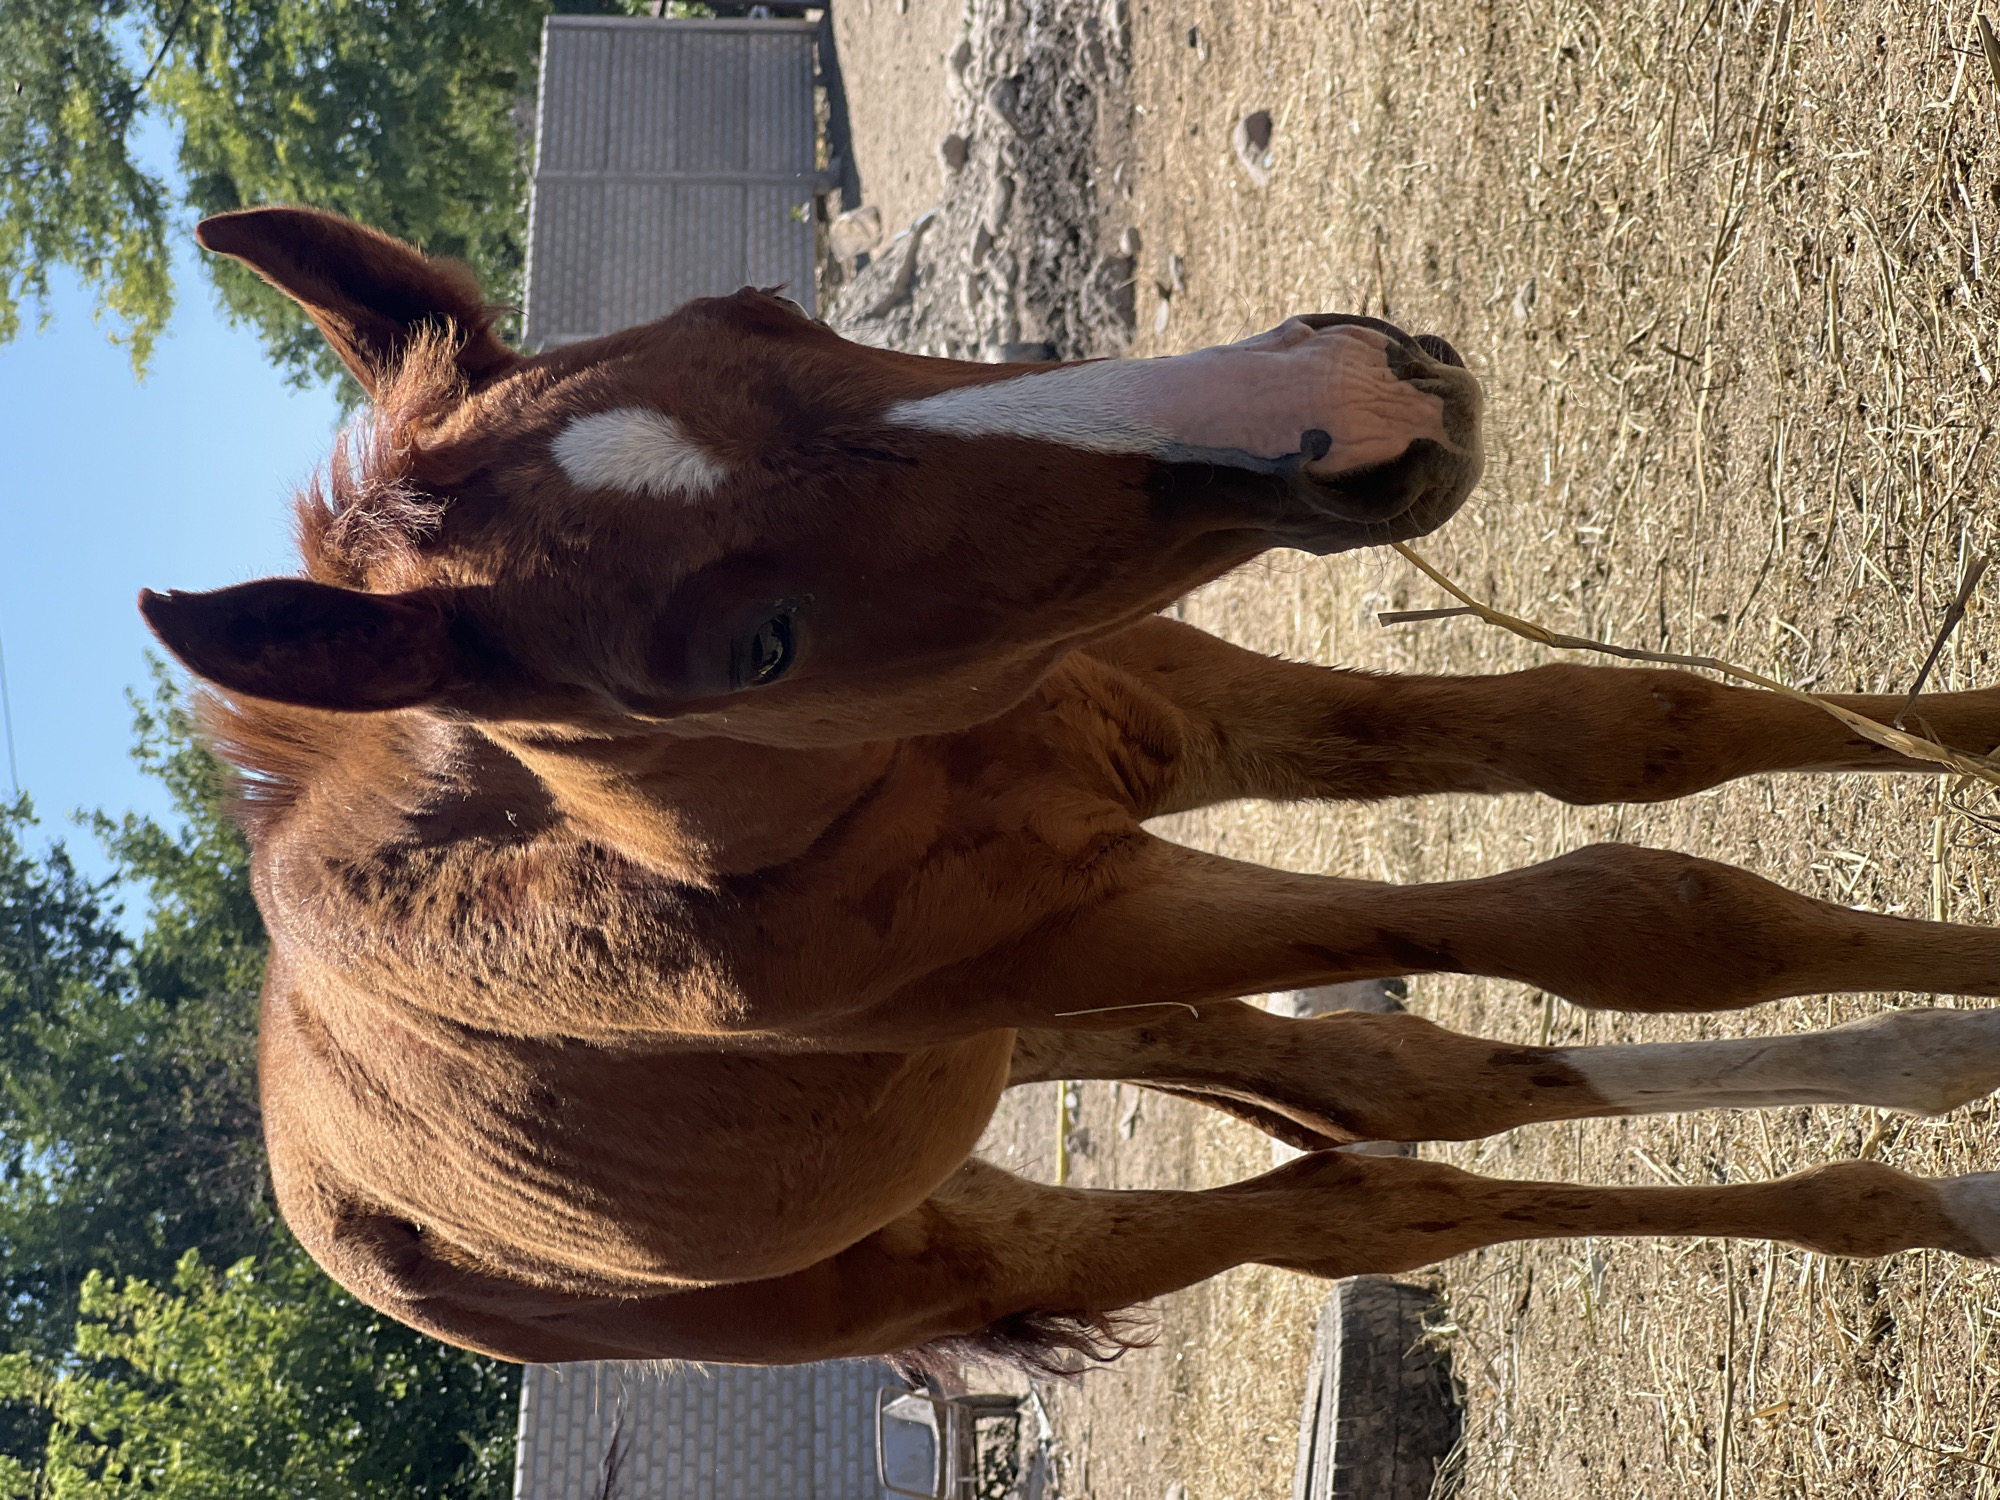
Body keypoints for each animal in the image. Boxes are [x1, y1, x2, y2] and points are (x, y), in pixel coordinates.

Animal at [139, 205, 2000, 1376]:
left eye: (766, 312)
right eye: (754, 640)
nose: (1352, 399)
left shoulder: (1162, 699)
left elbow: (1629, 738)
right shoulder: (1086, 915)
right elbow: (1642, 924)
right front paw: (1972, 1011)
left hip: (1004, 1052)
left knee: (1386, 1090)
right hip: (966, 1221)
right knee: (1359, 1203)